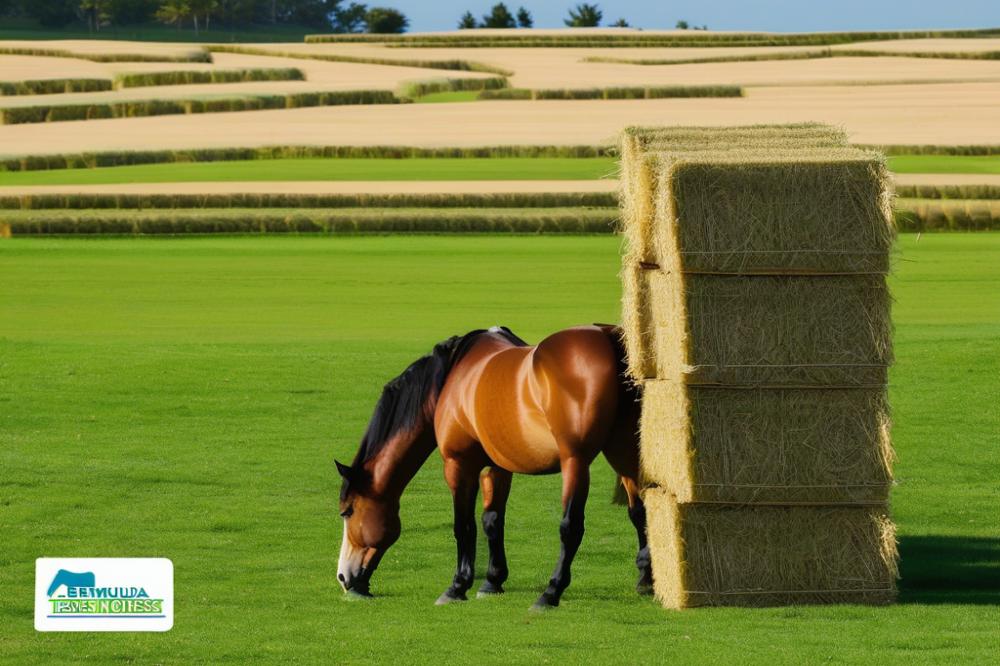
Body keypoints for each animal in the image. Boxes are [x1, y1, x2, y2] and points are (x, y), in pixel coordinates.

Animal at [336, 322, 648, 608]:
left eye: (347, 511)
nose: (344, 578)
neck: (452, 375)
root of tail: (607, 335)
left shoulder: (458, 465)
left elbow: (463, 525)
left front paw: (457, 586)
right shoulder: (496, 467)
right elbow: (492, 520)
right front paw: (492, 581)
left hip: (576, 462)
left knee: (571, 526)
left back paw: (551, 592)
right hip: (624, 455)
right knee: (639, 511)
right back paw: (645, 579)